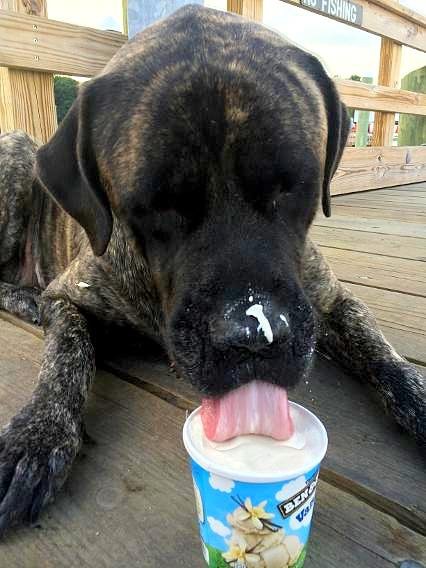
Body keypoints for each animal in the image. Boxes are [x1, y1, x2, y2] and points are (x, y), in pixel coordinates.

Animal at [0, 5, 422, 536]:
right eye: (154, 207)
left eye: (294, 186)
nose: (254, 337)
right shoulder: (68, 296)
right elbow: (66, 358)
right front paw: (36, 436)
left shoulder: (329, 299)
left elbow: (381, 351)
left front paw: (419, 397)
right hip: (13, 154)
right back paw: (24, 300)